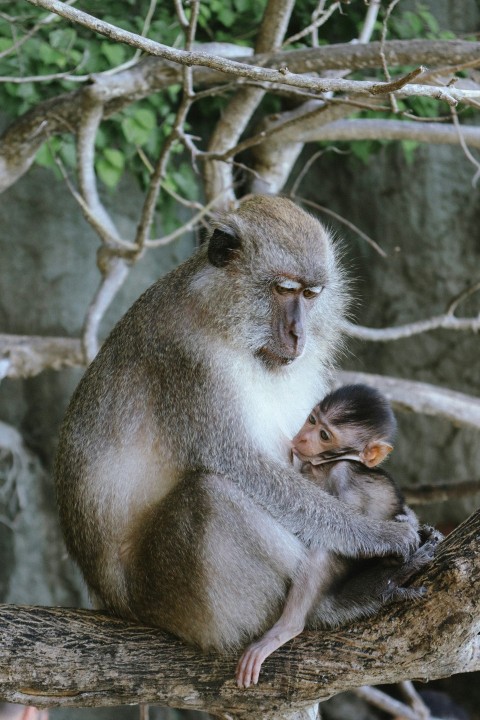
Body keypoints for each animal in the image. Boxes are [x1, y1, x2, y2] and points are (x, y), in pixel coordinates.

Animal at [55, 195, 423, 656]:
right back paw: (323, 608)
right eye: (283, 290)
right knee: (212, 495)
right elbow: (247, 467)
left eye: (310, 294)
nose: (297, 333)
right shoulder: (188, 362)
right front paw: (379, 535)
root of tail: (116, 603)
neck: (220, 317)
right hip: (174, 598)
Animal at [236, 384, 436, 688]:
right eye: (312, 420)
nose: (302, 438)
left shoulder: (345, 477)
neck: (334, 462)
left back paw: (289, 626)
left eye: (324, 436)